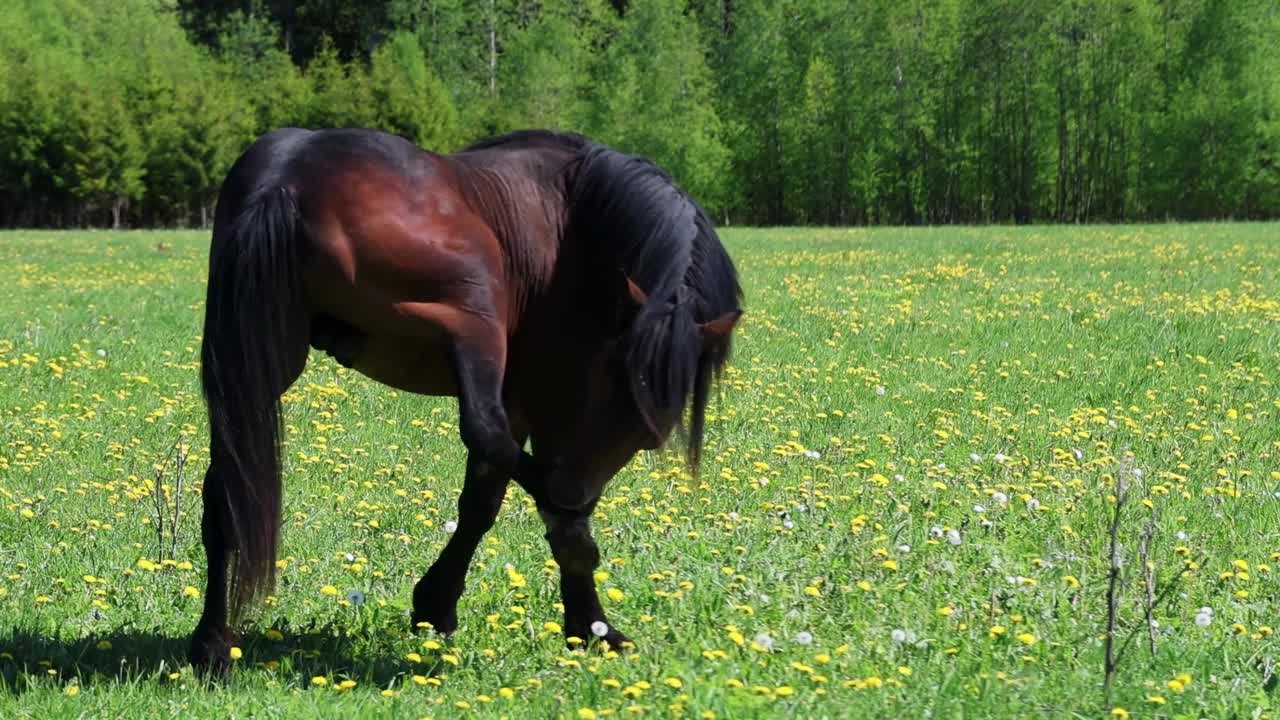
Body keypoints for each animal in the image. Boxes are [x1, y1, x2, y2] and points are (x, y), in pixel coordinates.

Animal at [194, 126, 747, 671]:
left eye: (647, 427)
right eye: (608, 382)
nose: (571, 491)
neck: (575, 219)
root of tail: (286, 179)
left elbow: (482, 497)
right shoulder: (539, 396)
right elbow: (486, 496)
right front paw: (588, 622)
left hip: (260, 362)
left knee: (227, 484)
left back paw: (212, 639)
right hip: (474, 313)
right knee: (486, 434)